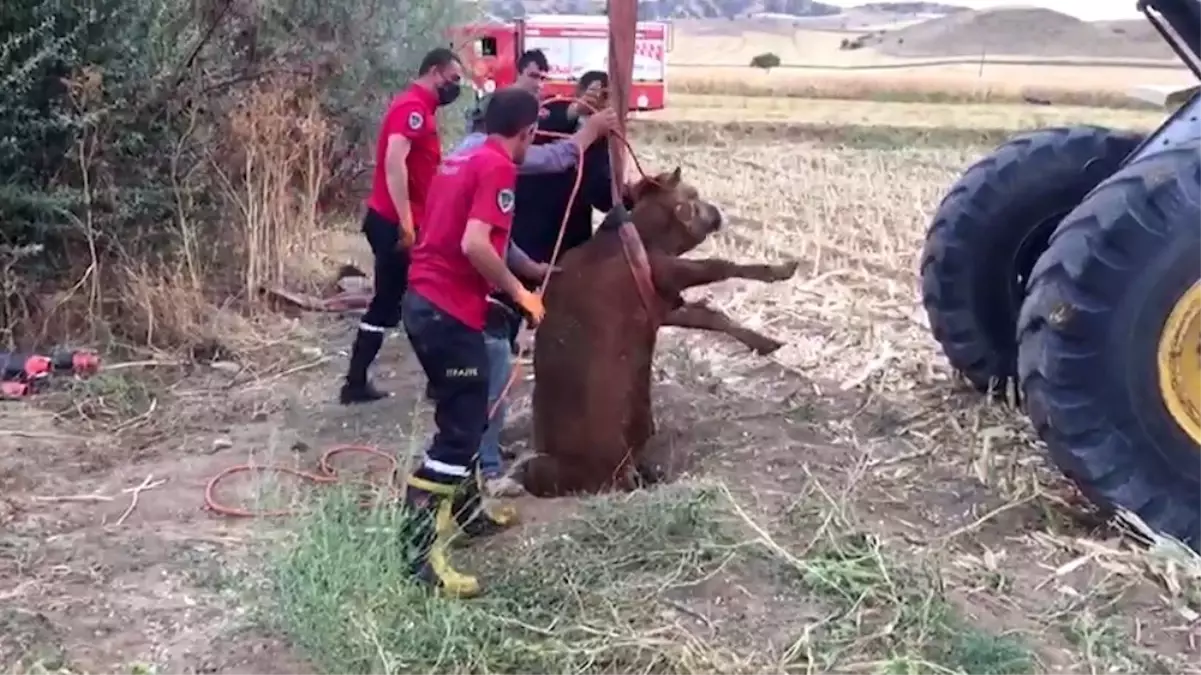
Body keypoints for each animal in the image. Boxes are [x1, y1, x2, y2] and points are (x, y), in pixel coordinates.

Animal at [516, 165, 797, 497]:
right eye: (692, 194)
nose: (717, 213)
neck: (645, 236)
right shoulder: (667, 271)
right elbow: (719, 266)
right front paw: (784, 269)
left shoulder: (664, 306)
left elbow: (712, 316)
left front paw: (767, 342)